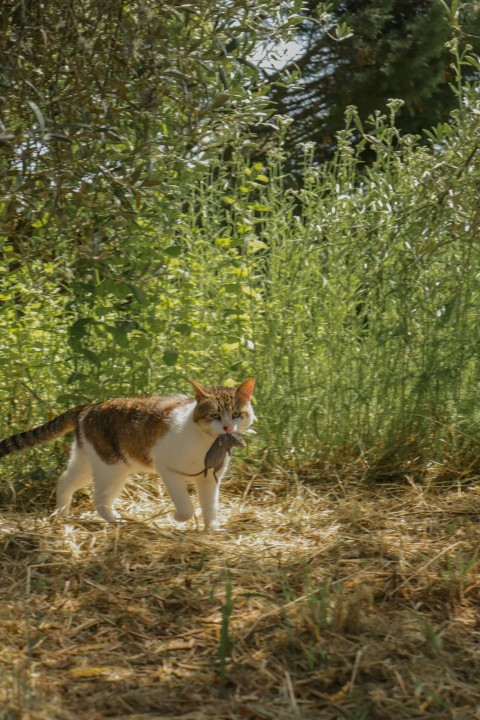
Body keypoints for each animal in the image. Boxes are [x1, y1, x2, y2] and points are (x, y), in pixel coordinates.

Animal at [0, 380, 255, 532]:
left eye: (236, 414)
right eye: (214, 415)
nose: (227, 428)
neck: (206, 444)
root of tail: (89, 407)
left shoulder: (209, 479)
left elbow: (210, 505)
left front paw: (212, 529)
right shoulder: (167, 469)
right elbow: (185, 506)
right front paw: (177, 518)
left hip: (88, 460)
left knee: (64, 482)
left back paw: (61, 515)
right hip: (112, 467)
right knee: (100, 498)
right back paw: (117, 521)